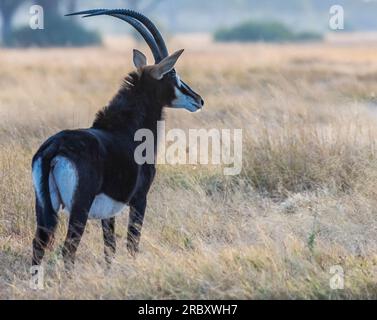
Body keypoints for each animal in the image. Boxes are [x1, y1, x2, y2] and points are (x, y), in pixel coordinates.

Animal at [31, 8, 203, 268]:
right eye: (173, 75)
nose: (199, 100)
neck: (126, 128)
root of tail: (54, 148)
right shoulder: (140, 198)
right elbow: (132, 243)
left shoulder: (108, 212)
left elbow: (109, 249)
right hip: (79, 208)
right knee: (68, 249)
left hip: (43, 208)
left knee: (38, 247)